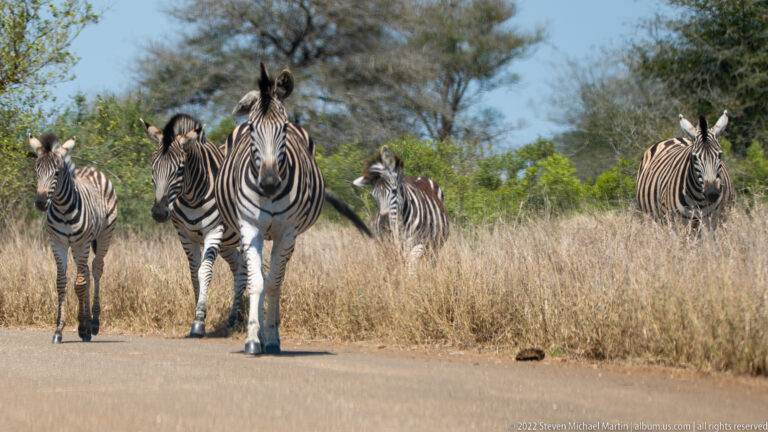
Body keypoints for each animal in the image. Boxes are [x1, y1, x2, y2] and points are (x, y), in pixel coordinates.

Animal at [29, 133, 117, 343]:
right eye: (37, 171)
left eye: (56, 173)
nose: (41, 202)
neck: (62, 208)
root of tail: (93, 169)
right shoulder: (58, 243)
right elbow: (62, 283)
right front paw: (59, 330)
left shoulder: (82, 243)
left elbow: (79, 285)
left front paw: (85, 326)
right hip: (78, 247)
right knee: (85, 273)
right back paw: (85, 324)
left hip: (103, 237)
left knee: (96, 269)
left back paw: (93, 323)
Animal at [140, 113, 246, 337]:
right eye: (153, 168)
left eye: (180, 169)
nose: (159, 212)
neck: (192, 197)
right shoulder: (185, 235)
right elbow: (193, 274)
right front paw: (199, 315)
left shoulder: (213, 231)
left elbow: (204, 272)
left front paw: (198, 321)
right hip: (227, 243)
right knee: (238, 267)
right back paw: (237, 316)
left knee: (248, 269)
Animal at [215, 63, 370, 355]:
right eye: (251, 128)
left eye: (284, 127)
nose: (269, 182)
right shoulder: (250, 228)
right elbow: (257, 282)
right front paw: (253, 339)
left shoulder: (286, 232)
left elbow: (274, 283)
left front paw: (271, 337)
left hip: (289, 237)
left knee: (278, 276)